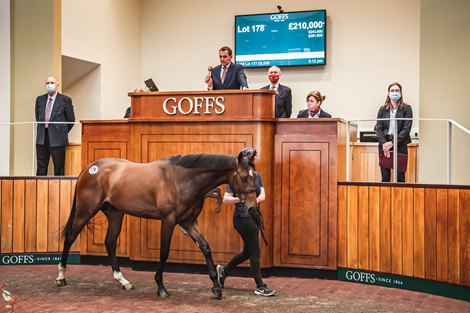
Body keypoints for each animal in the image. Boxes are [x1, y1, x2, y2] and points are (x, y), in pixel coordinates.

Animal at [57, 151, 258, 298]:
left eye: (254, 177)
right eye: (243, 177)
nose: (252, 207)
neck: (182, 180)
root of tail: (90, 168)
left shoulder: (188, 221)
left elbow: (205, 248)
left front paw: (216, 287)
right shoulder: (168, 221)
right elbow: (164, 251)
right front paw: (161, 287)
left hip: (115, 214)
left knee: (110, 243)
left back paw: (123, 281)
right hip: (85, 210)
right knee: (70, 236)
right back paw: (61, 277)